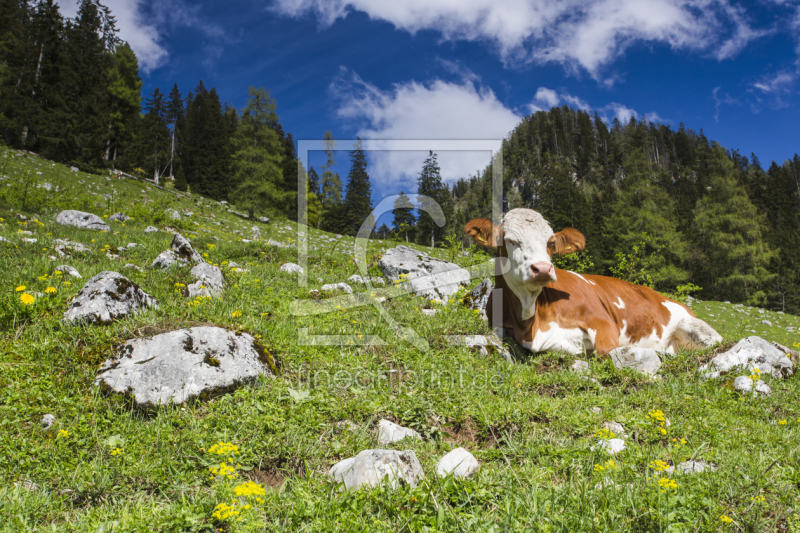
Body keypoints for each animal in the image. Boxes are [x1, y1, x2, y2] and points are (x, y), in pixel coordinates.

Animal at [466, 210, 720, 356]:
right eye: (509, 240)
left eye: (550, 243)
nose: (543, 269)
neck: (532, 323)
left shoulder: (603, 321)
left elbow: (607, 350)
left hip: (696, 328)